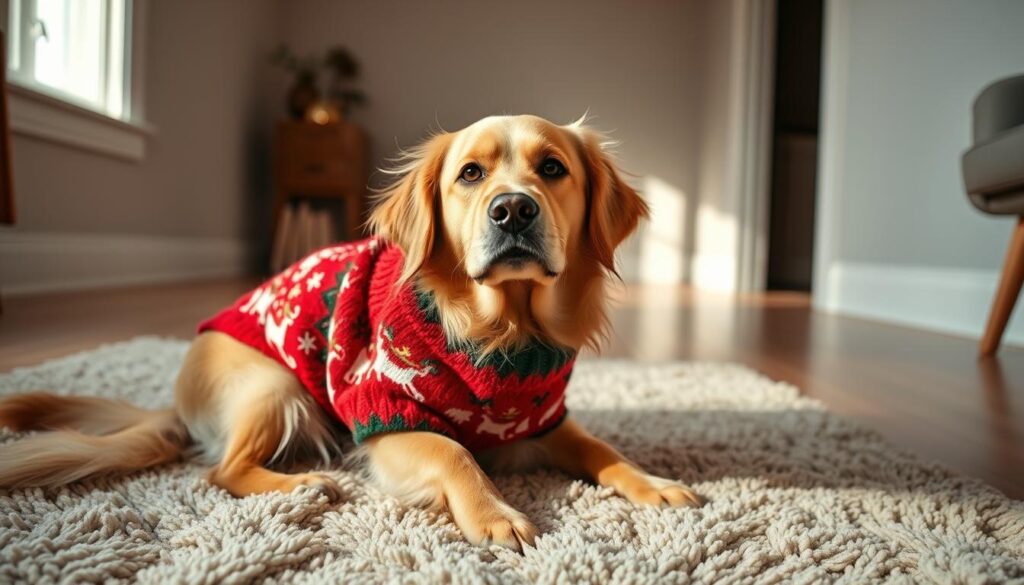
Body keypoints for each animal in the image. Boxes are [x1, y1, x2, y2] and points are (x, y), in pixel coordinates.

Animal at [0, 115, 704, 553]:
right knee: (221, 471)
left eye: (553, 168)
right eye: (471, 175)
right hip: (276, 387)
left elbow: (602, 449)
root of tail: (176, 400)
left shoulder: (543, 419)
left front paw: (653, 482)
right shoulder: (383, 413)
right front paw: (496, 513)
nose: (513, 209)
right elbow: (456, 452)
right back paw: (301, 483)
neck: (503, 330)